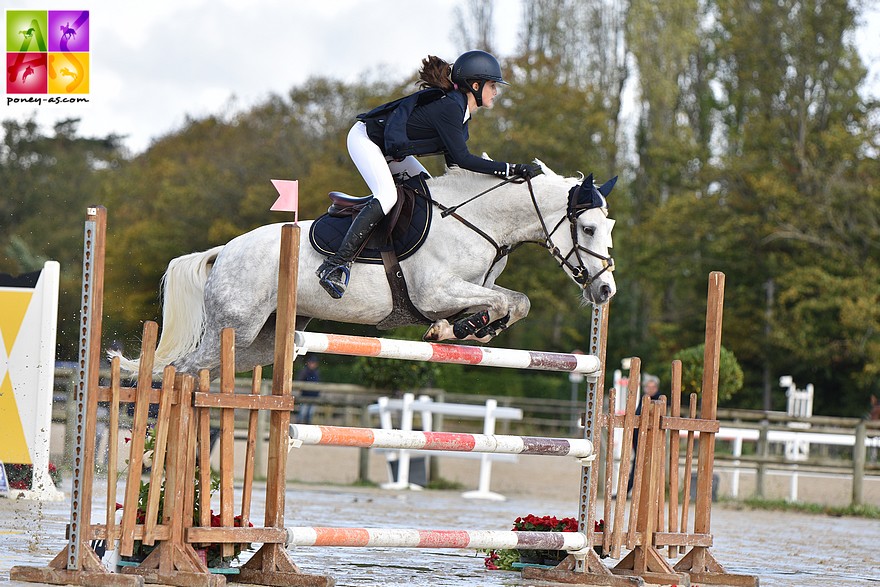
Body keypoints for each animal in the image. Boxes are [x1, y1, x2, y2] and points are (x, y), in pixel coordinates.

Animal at [113, 162, 616, 376]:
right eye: (588, 228)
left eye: (608, 227)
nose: (606, 290)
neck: (479, 219)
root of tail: (226, 251)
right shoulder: (435, 292)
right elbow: (500, 301)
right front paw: (457, 329)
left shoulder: (470, 288)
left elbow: (515, 301)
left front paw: (467, 329)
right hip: (234, 326)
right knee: (181, 371)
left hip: (260, 341)